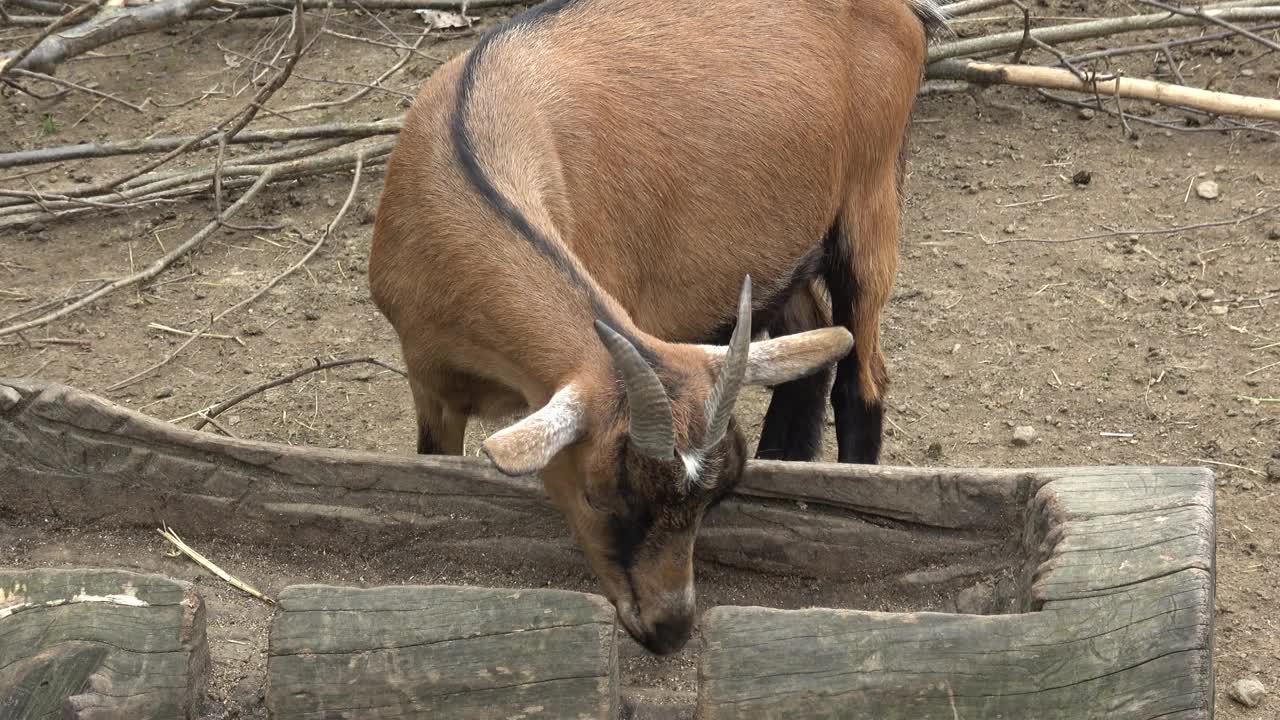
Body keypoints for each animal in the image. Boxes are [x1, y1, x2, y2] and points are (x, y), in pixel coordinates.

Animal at [366, 0, 947, 650]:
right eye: (598, 498)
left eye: (715, 498)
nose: (670, 629)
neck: (468, 142)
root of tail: (908, 13)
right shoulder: (430, 384)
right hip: (784, 257)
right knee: (812, 355)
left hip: (870, 207)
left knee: (862, 378)